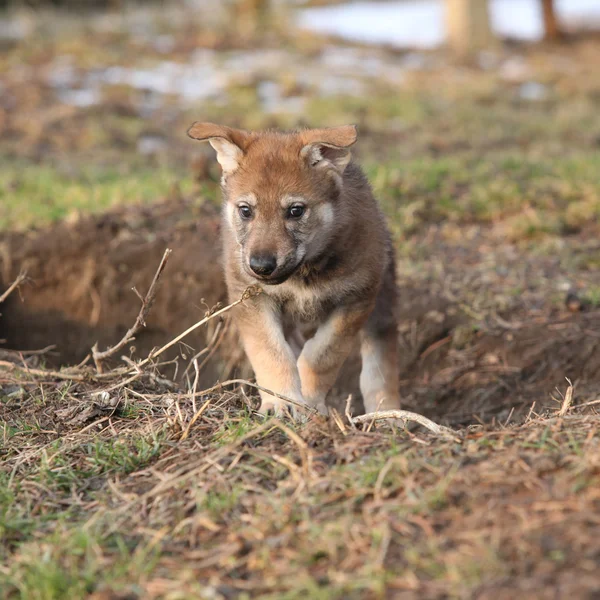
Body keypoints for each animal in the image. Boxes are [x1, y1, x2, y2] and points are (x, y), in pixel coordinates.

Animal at [190, 120, 400, 412]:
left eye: (296, 210)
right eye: (246, 210)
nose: (261, 266)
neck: (303, 276)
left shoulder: (355, 299)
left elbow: (321, 356)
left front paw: (310, 400)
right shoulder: (252, 299)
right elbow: (272, 352)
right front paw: (282, 402)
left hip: (382, 303)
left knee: (380, 360)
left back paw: (387, 412)